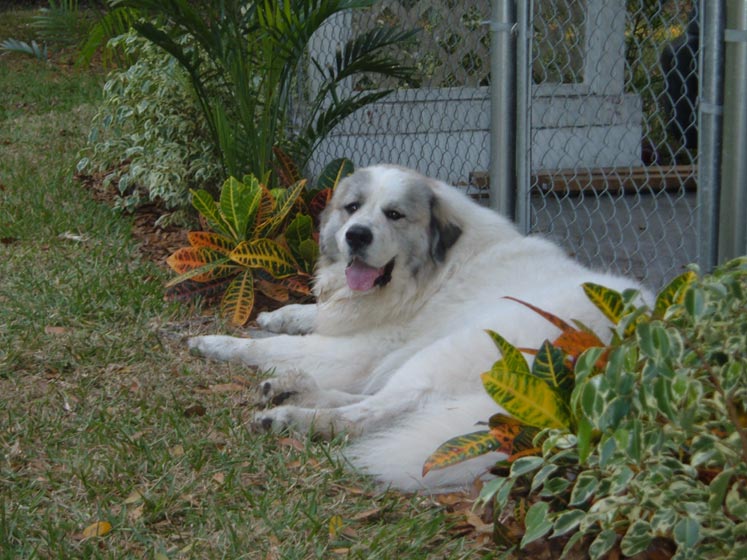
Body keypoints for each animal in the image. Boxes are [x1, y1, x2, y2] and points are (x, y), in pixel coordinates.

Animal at [188, 164, 648, 492]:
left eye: (394, 215)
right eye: (352, 208)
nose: (356, 236)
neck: (435, 271)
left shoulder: (358, 351)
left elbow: (267, 347)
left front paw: (211, 341)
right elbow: (310, 313)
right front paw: (275, 316)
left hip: (454, 352)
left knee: (373, 412)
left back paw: (291, 417)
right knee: (382, 402)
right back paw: (292, 389)